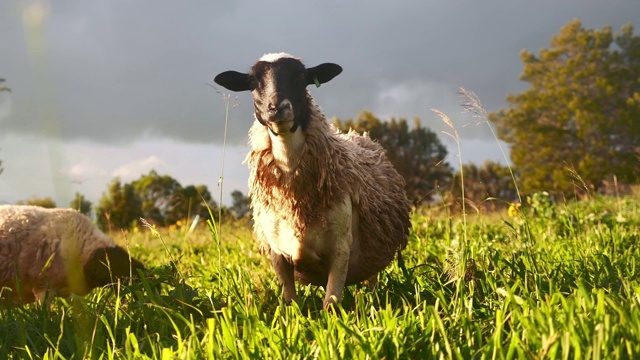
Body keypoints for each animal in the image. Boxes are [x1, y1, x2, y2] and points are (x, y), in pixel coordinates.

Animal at [214, 52, 410, 308]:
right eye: (252, 81)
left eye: (301, 76)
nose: (277, 108)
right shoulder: (277, 254)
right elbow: (290, 303)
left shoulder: (341, 249)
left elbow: (331, 305)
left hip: (372, 252)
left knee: (372, 279)